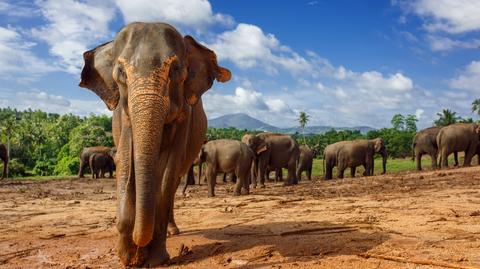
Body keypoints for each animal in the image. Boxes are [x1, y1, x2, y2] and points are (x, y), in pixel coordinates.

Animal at [79, 22, 232, 266]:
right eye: (120, 72)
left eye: (175, 70)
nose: (137, 252)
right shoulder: (123, 117)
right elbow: (125, 159)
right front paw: (128, 257)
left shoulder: (184, 117)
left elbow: (168, 170)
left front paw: (155, 259)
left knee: (173, 182)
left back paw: (172, 231)